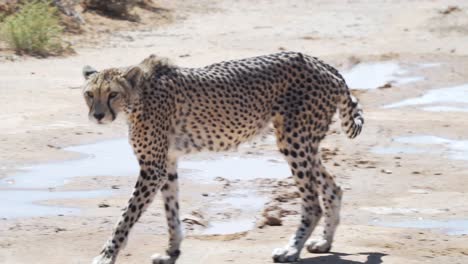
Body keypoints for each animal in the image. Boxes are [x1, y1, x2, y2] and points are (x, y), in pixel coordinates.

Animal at [82, 52, 364, 264]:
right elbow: (171, 211)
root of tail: (322, 63)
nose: (98, 115)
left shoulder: (153, 168)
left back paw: (291, 250)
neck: (137, 97)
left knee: (313, 202)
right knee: (333, 187)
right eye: (89, 94)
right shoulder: (167, 164)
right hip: (304, 143)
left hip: (294, 140)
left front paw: (106, 256)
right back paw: (324, 242)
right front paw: (171, 252)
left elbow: (125, 217)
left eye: (112, 94)